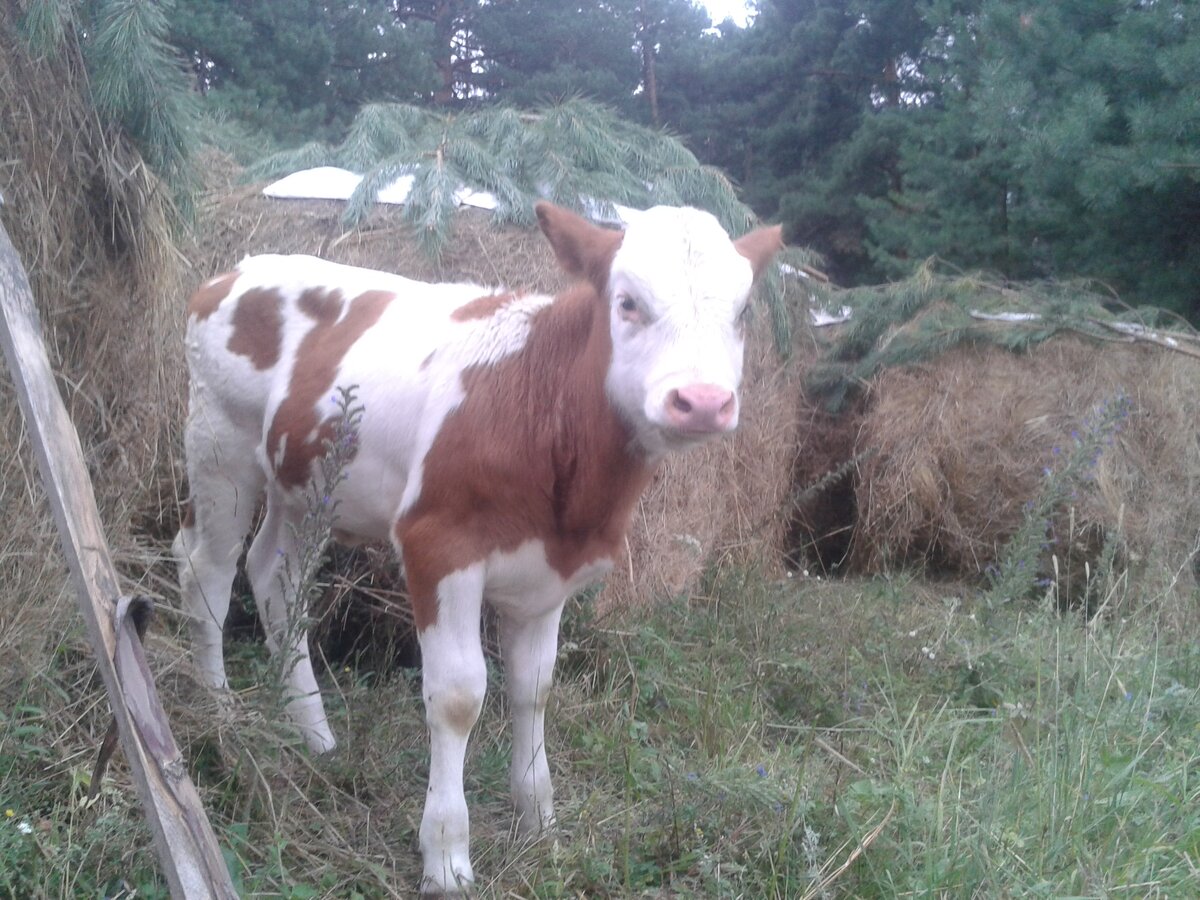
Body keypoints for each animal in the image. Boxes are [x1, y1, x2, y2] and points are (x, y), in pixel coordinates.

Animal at [174, 202, 782, 897]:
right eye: (627, 302)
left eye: (742, 312)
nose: (703, 401)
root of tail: (238, 268)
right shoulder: (438, 543)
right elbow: (460, 696)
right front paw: (446, 855)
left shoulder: (550, 574)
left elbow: (533, 687)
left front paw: (540, 827)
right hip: (219, 443)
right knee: (207, 571)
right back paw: (220, 717)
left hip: (305, 482)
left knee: (274, 574)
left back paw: (315, 735)